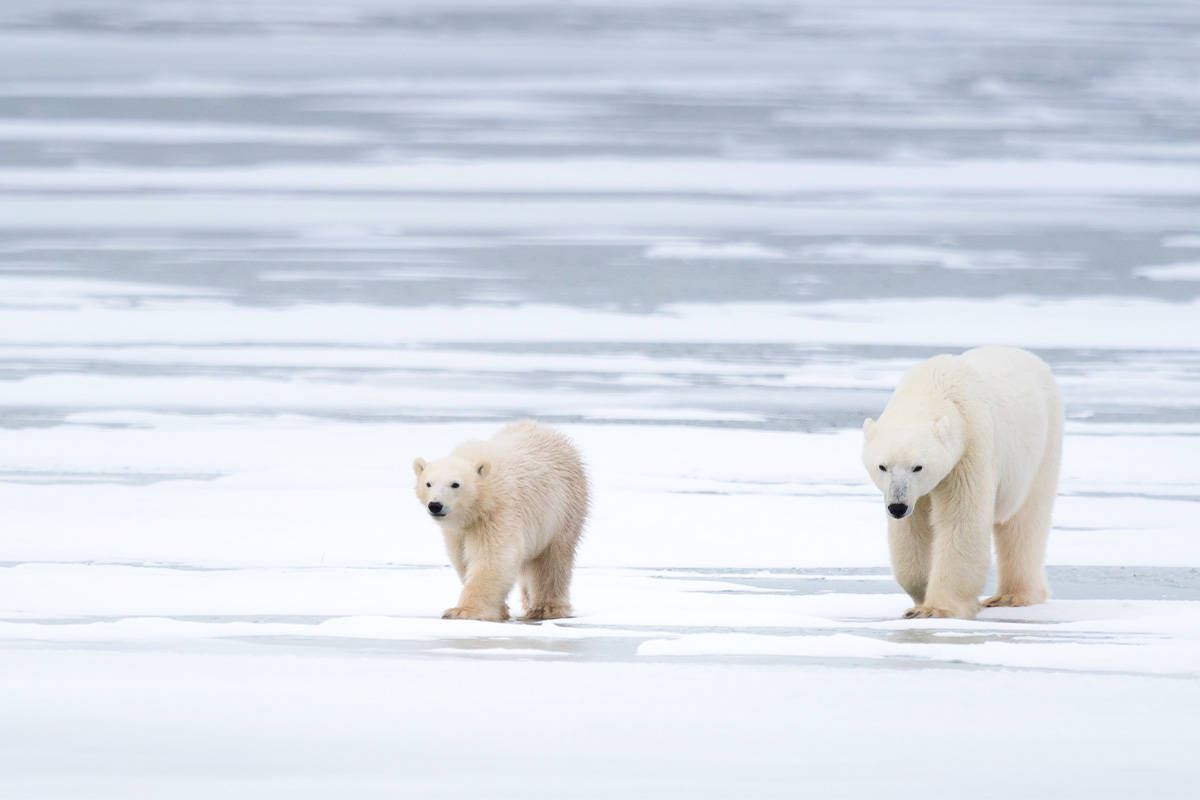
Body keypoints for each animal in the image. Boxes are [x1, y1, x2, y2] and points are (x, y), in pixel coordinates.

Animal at [410, 422, 588, 623]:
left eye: (455, 484)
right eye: (428, 483)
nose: (435, 505)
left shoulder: (498, 512)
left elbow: (493, 557)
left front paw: (463, 611)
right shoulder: (459, 530)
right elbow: (461, 558)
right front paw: (500, 609)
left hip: (563, 509)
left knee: (551, 560)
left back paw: (546, 608)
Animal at [864, 345, 1060, 618]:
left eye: (918, 467)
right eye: (882, 466)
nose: (897, 507)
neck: (934, 386)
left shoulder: (970, 448)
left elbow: (961, 520)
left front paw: (935, 608)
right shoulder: (912, 494)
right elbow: (912, 531)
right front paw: (921, 593)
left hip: (1041, 447)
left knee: (1024, 521)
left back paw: (1012, 596)